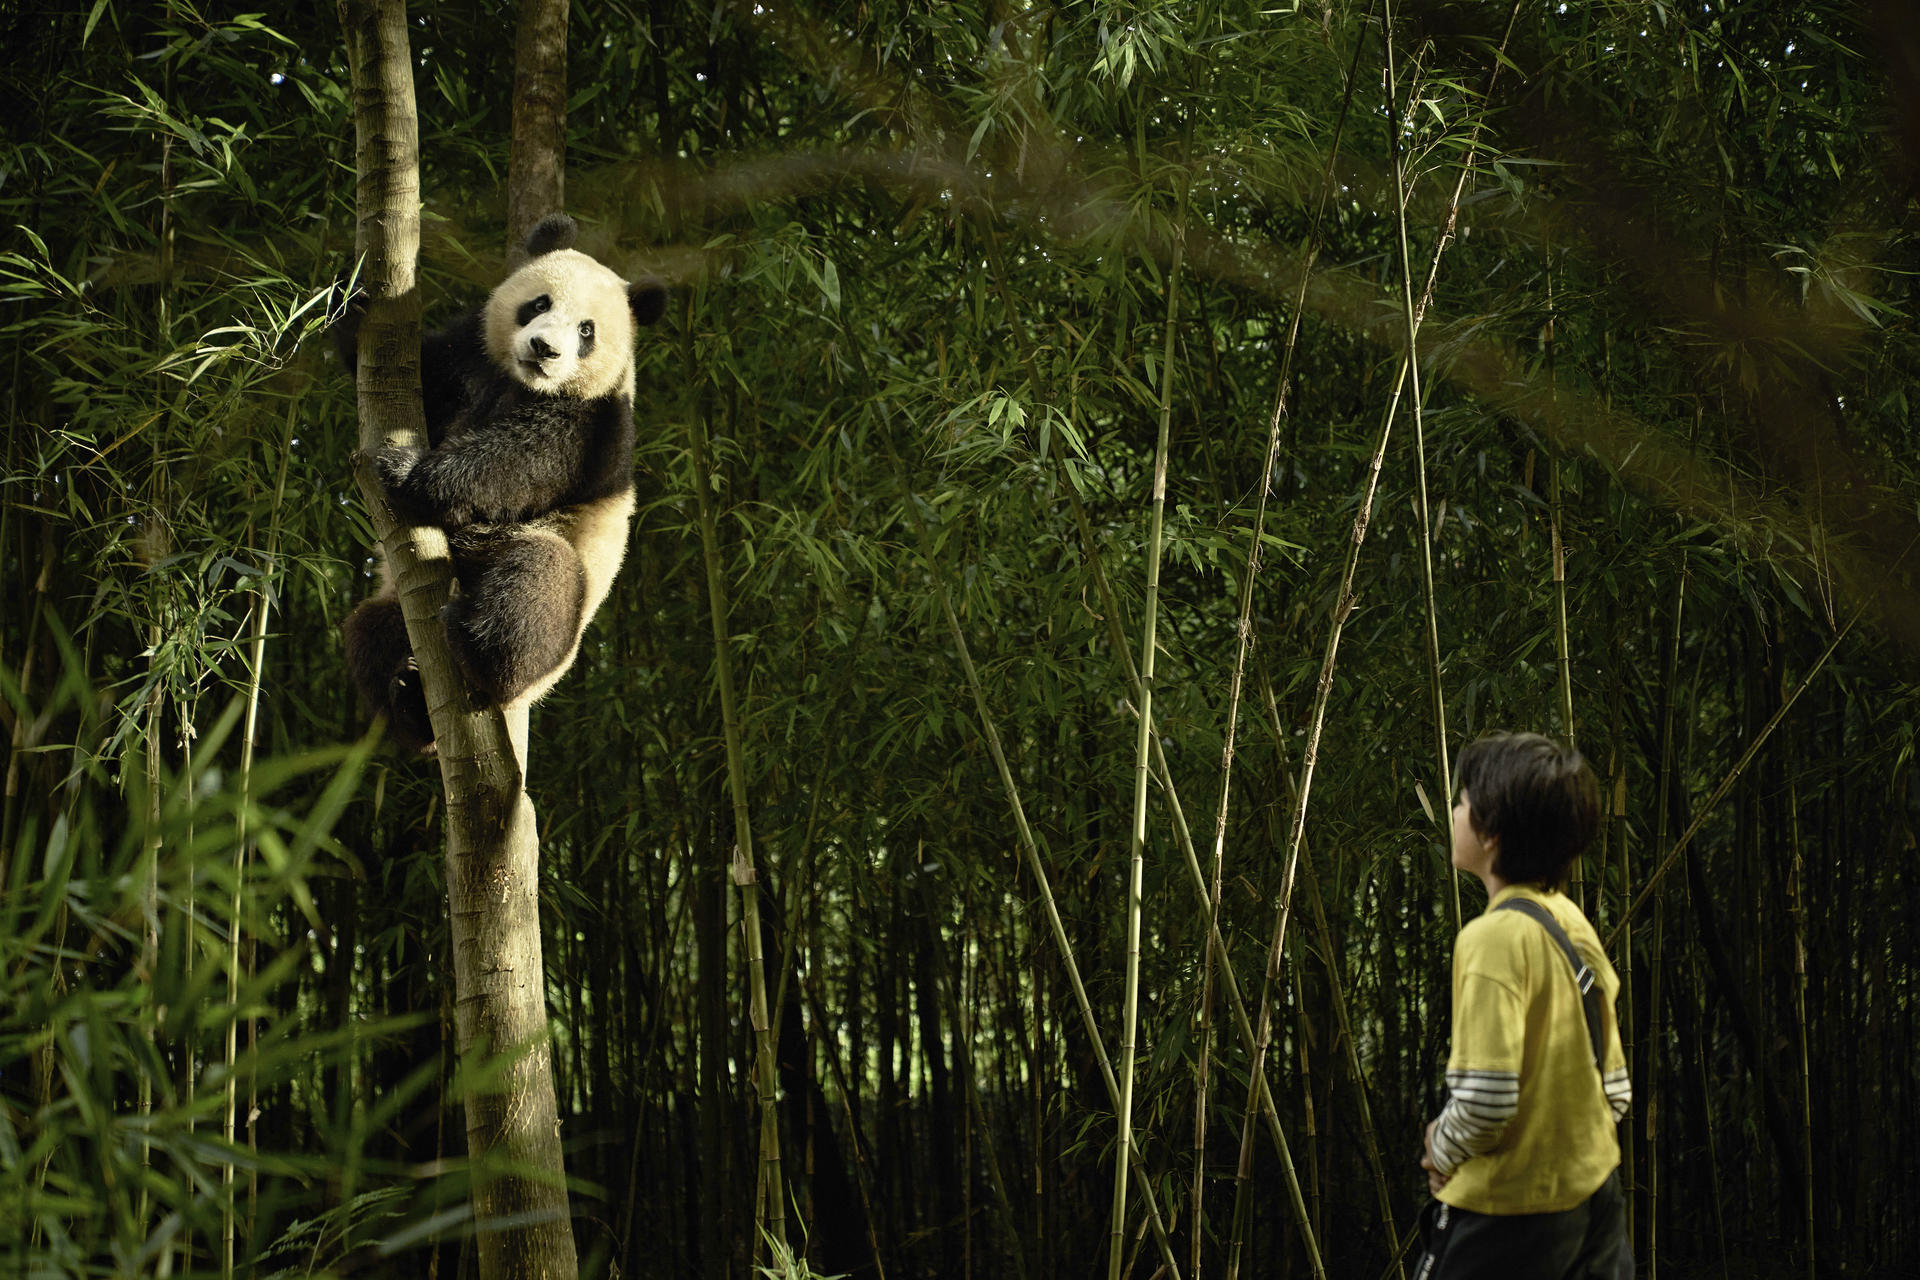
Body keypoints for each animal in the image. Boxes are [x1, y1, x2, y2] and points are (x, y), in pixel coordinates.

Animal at [336, 214, 667, 752]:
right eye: (539, 304)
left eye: (587, 330)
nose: (544, 349)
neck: (521, 381)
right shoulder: (469, 358)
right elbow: (425, 371)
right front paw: (351, 306)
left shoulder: (596, 426)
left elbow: (521, 461)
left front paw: (407, 470)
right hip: (392, 604)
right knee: (369, 631)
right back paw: (409, 704)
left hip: (553, 594)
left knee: (537, 583)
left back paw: (480, 656)